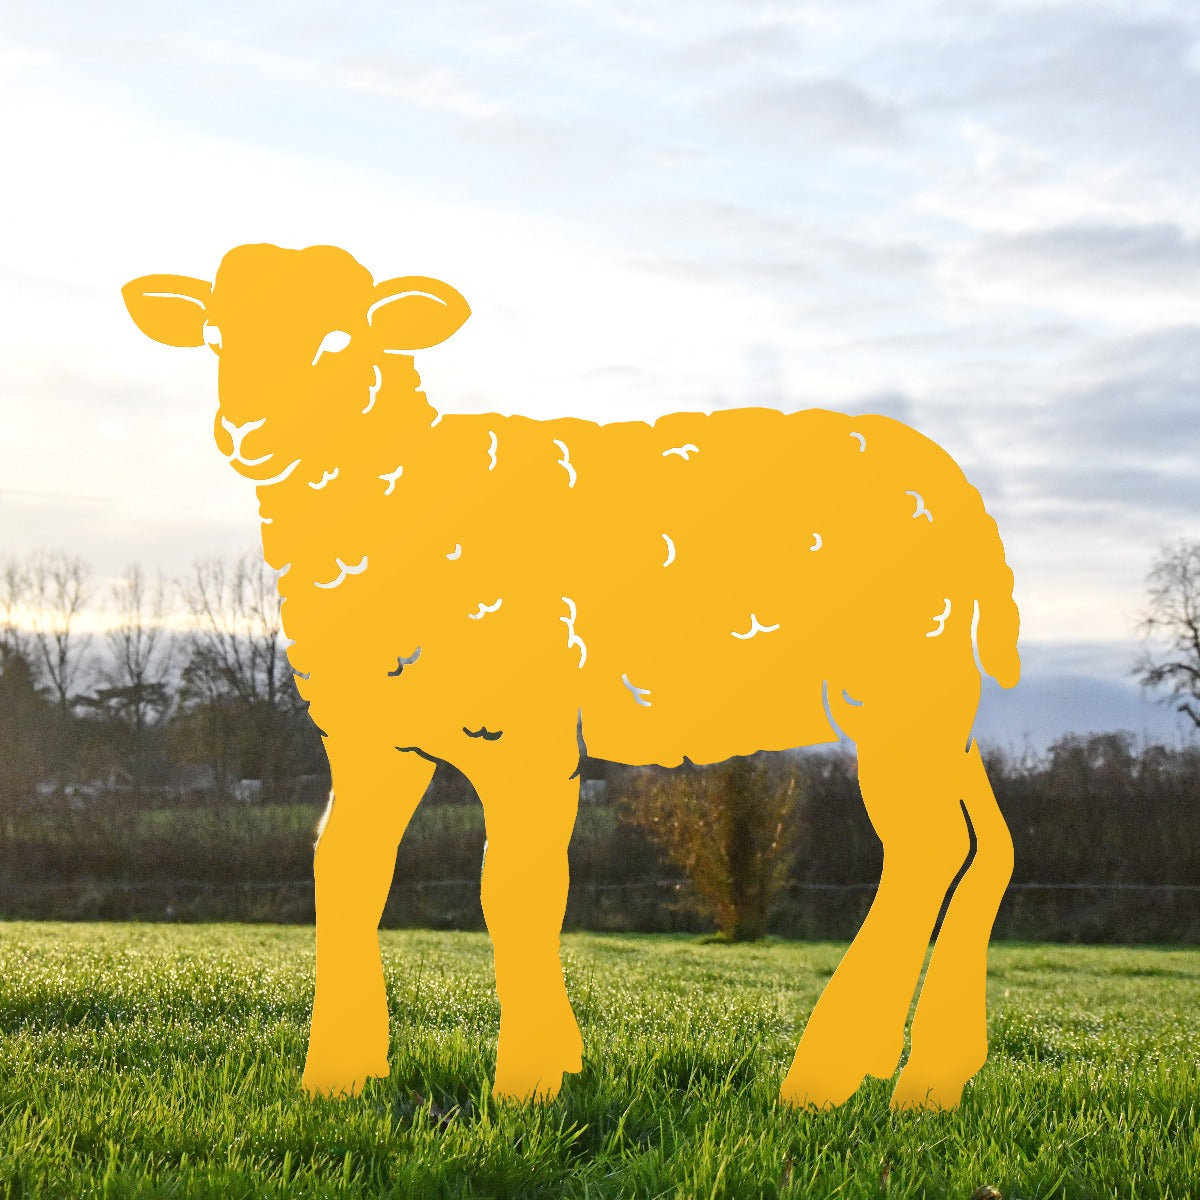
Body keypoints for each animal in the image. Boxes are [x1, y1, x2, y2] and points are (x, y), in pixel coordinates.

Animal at [122, 242, 1020, 1112]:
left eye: (343, 339)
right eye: (215, 338)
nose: (250, 430)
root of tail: (958, 488)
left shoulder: (523, 723)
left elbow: (514, 890)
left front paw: (528, 1080)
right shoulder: (370, 736)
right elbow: (343, 873)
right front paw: (339, 1075)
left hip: (900, 685)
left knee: (927, 850)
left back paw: (830, 1077)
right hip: (940, 701)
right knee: (985, 846)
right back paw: (925, 1072)